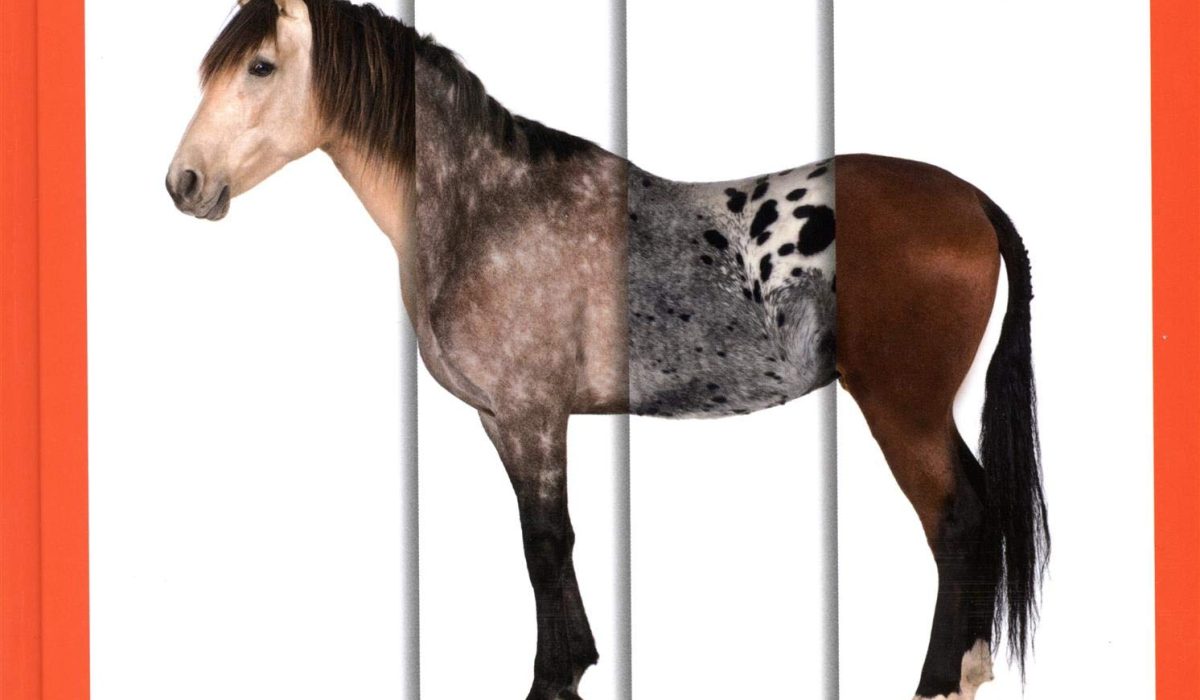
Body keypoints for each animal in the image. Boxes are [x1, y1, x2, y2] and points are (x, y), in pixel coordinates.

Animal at [165, 2, 1048, 698]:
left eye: (259, 65)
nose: (184, 182)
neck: (489, 209)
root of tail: (970, 201)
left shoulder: (533, 415)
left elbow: (546, 542)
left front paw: (552, 679)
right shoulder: (502, 420)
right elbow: (542, 541)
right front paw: (577, 661)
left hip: (901, 408)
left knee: (956, 520)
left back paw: (938, 682)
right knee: (980, 508)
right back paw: (971, 668)